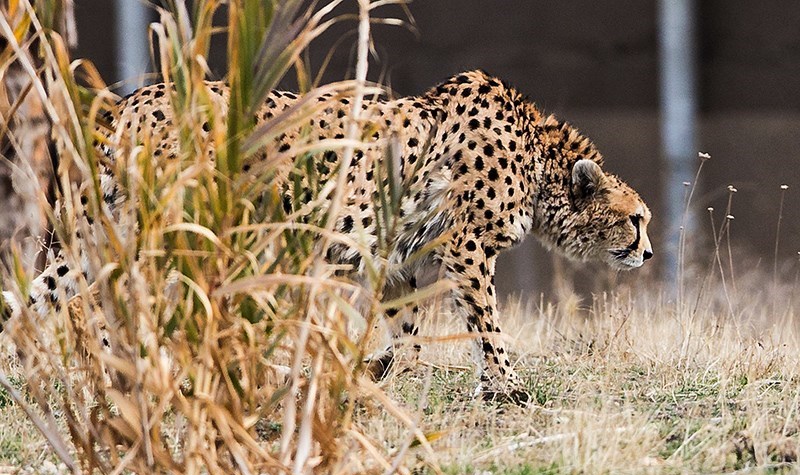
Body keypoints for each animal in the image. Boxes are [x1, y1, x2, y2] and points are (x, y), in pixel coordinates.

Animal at [1, 70, 653, 404]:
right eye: (637, 219)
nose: (647, 250)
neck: (542, 160)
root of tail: (135, 100)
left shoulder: (396, 251)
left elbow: (408, 329)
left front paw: (383, 371)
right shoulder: (465, 246)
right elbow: (486, 326)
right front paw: (508, 389)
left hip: (111, 229)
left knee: (43, 295)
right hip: (192, 226)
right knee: (137, 304)